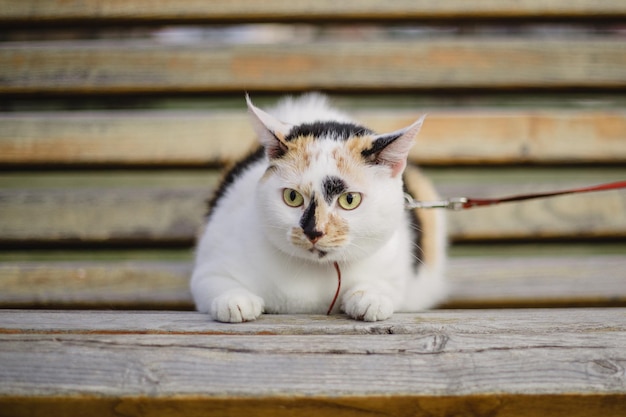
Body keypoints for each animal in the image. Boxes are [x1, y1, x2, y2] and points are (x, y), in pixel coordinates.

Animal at [189, 94, 444, 322]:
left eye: (349, 200)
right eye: (292, 197)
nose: (313, 231)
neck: (314, 272)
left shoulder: (398, 268)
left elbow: (389, 287)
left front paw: (370, 298)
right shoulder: (211, 263)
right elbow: (214, 281)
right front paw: (235, 301)